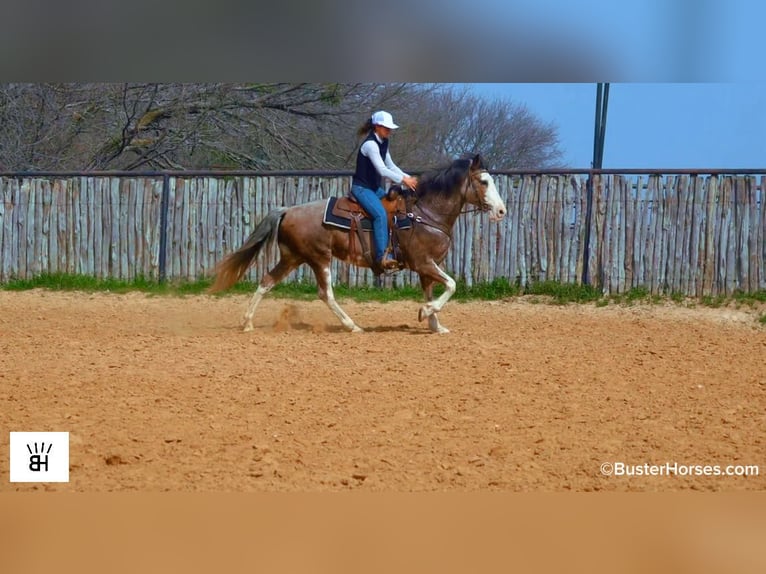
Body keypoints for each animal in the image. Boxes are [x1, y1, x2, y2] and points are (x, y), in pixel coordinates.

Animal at [208, 153, 507, 333]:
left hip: (293, 257)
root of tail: (288, 210)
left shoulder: (427, 268)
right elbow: (452, 285)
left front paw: (435, 325)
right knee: (325, 293)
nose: (502, 211)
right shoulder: (423, 263)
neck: (425, 213)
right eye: (483, 181)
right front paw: (426, 313)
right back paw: (352, 325)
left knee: (267, 281)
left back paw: (247, 323)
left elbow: (433, 291)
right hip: (319, 258)